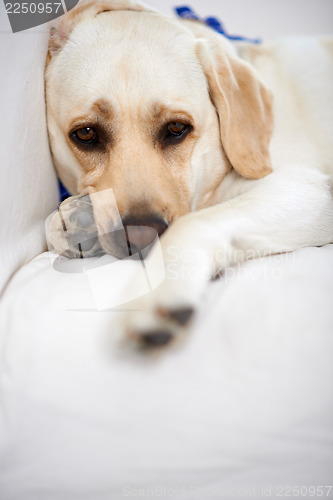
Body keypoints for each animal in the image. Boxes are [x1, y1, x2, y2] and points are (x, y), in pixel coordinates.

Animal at [46, 0, 332, 344]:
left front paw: (158, 293)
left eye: (176, 128)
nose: (139, 237)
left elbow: (191, 223)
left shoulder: (305, 189)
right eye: (86, 134)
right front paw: (77, 218)